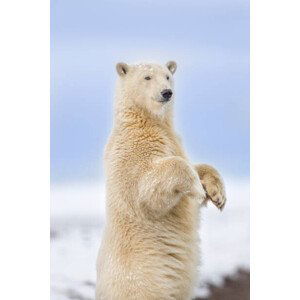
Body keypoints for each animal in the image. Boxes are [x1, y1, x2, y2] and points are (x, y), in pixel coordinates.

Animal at [97, 61, 226, 300]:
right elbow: (147, 189)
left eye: (167, 76)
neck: (145, 121)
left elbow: (196, 165)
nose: (167, 92)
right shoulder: (129, 152)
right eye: (147, 77)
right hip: (144, 281)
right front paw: (197, 188)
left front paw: (217, 194)